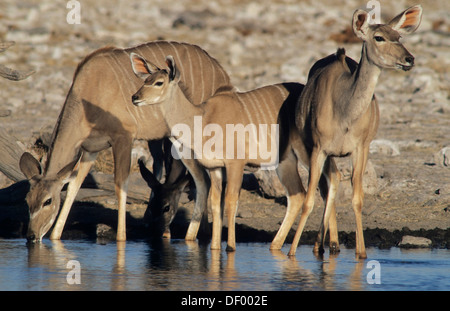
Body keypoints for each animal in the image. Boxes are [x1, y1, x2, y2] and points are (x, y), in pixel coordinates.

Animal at [18, 41, 230, 245]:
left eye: (47, 201)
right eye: (27, 200)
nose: (31, 236)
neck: (90, 89)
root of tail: (222, 73)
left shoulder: (123, 138)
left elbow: (120, 186)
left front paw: (121, 238)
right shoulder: (90, 151)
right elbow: (73, 188)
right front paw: (55, 236)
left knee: (204, 180)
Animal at [128, 53, 340, 254]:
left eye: (158, 82)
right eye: (145, 79)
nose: (134, 97)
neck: (203, 119)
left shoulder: (235, 163)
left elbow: (230, 201)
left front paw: (230, 246)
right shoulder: (215, 167)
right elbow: (216, 203)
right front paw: (214, 247)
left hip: (308, 151)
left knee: (331, 177)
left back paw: (326, 246)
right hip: (285, 161)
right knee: (298, 194)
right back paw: (280, 246)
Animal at [288, 5, 422, 260]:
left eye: (399, 37)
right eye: (379, 37)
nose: (409, 59)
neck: (344, 113)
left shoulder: (361, 148)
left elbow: (357, 198)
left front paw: (361, 252)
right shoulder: (319, 148)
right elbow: (308, 200)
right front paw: (289, 253)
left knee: (334, 180)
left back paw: (329, 244)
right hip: (316, 151)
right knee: (328, 183)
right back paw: (323, 246)